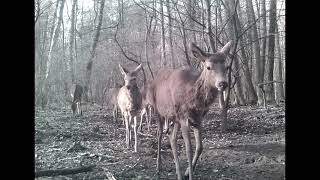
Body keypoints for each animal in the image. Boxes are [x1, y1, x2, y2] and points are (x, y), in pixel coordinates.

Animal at [149, 40, 231, 180]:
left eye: (226, 67)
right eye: (208, 67)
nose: (223, 83)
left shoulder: (198, 118)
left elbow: (200, 147)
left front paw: (188, 171)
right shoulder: (184, 117)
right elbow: (189, 149)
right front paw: (190, 174)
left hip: (175, 117)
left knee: (172, 139)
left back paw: (178, 172)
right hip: (157, 110)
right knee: (159, 134)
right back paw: (158, 167)